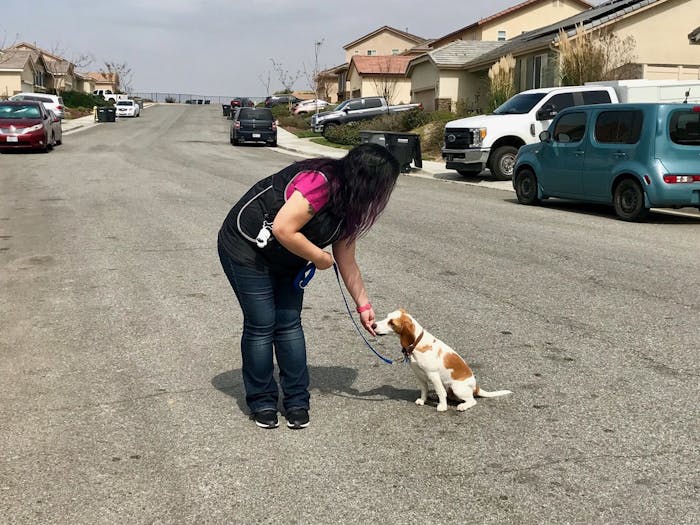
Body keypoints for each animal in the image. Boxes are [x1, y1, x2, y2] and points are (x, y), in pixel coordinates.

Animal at [374, 308, 512, 414]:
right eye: (387, 317)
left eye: (391, 323)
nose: (374, 325)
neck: (417, 343)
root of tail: (476, 387)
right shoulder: (419, 375)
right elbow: (424, 389)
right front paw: (423, 400)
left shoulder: (433, 375)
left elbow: (440, 392)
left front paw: (442, 406)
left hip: (456, 387)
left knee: (472, 400)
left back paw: (463, 406)